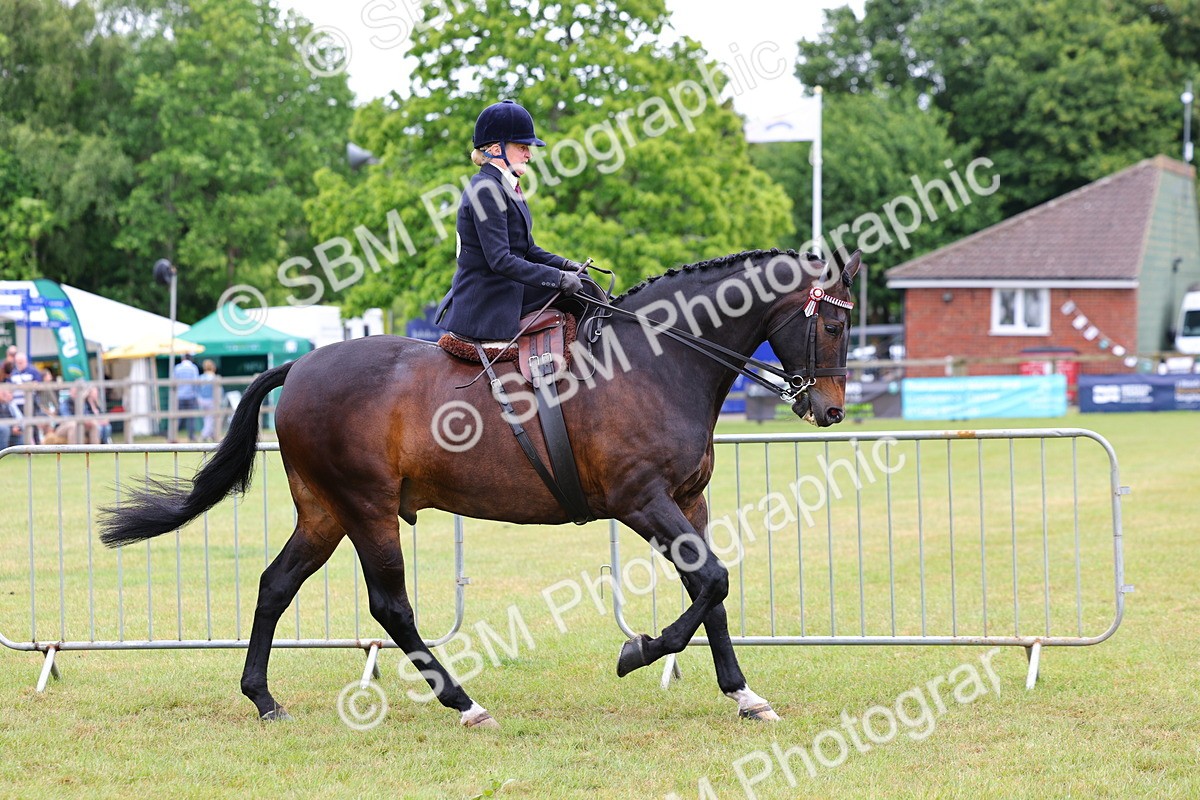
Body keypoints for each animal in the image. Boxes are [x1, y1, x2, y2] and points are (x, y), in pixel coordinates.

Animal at [100, 247, 862, 728]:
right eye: (832, 322)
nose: (828, 410)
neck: (656, 360)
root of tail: (302, 365)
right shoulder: (642, 501)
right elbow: (711, 584)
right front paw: (636, 651)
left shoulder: (688, 502)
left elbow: (713, 591)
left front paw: (744, 694)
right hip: (367, 509)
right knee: (390, 607)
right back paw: (463, 703)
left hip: (324, 512)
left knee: (274, 585)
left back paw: (263, 698)